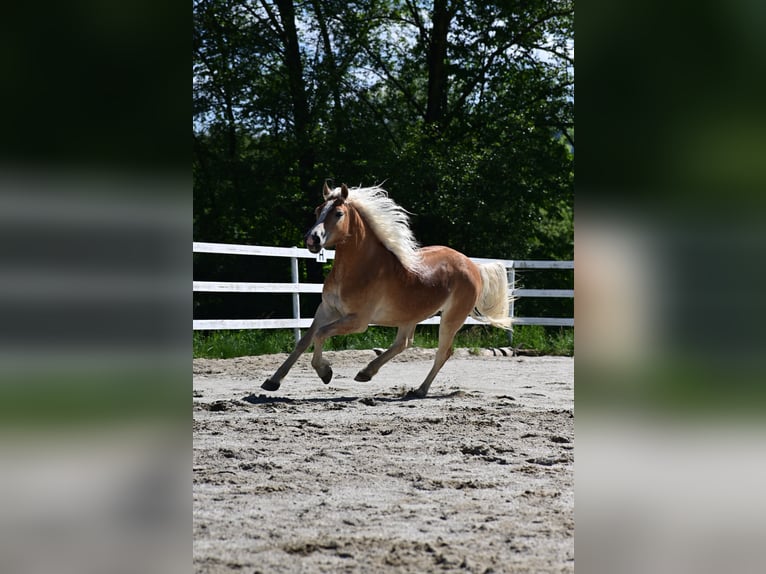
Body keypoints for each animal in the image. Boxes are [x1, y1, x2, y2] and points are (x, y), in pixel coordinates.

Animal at [261, 182, 512, 398]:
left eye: (338, 213)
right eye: (317, 210)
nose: (312, 239)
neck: (361, 267)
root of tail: (473, 266)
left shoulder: (358, 321)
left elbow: (320, 334)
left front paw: (325, 372)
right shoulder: (326, 309)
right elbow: (304, 341)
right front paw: (272, 381)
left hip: (451, 318)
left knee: (443, 352)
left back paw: (419, 390)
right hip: (410, 315)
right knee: (403, 343)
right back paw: (366, 373)